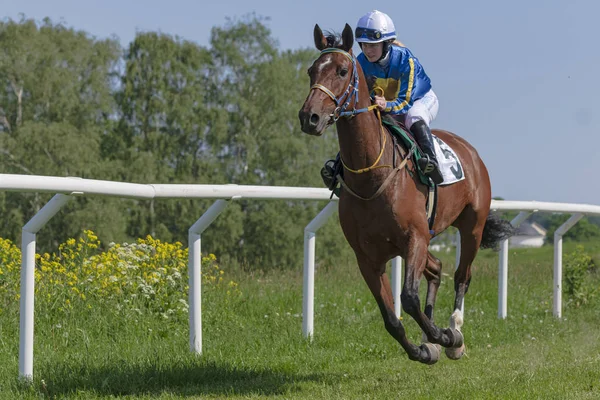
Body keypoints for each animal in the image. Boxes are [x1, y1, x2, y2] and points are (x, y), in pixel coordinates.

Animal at [298, 23, 512, 364]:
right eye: (311, 71)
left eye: (342, 71)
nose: (310, 117)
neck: (372, 177)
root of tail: (470, 151)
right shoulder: (368, 256)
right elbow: (391, 318)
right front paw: (423, 349)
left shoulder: (415, 238)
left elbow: (409, 298)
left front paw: (443, 337)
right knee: (436, 269)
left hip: (471, 227)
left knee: (462, 276)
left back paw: (455, 332)